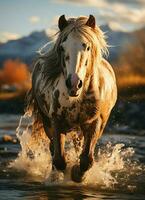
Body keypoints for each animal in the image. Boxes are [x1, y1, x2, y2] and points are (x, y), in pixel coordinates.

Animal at [25, 14, 116, 182]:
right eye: (62, 48)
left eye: (87, 46)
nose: (74, 83)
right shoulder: (56, 121)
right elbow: (59, 158)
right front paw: (64, 172)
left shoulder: (94, 123)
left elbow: (86, 159)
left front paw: (77, 175)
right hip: (47, 121)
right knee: (53, 149)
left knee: (79, 147)